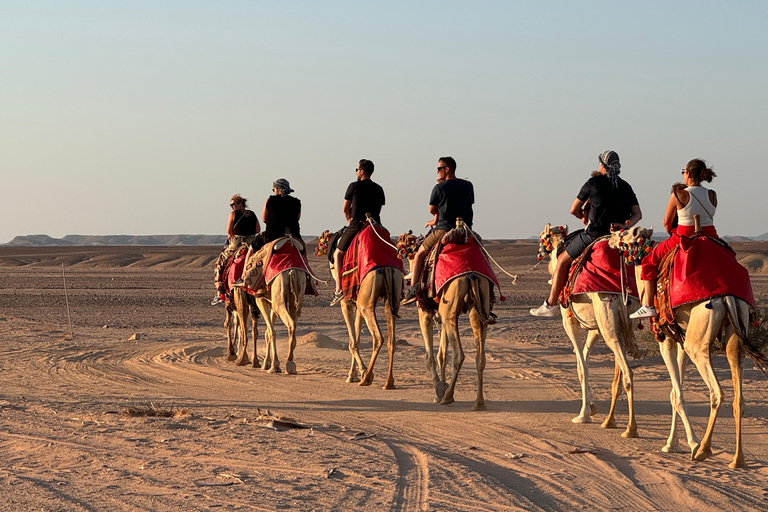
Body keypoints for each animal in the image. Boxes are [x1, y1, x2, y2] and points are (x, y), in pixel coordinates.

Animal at [539, 223, 640, 438]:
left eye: (542, 236)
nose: (540, 251)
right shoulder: (595, 328)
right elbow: (583, 361)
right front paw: (591, 408)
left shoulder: (569, 320)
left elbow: (583, 365)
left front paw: (583, 414)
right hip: (620, 325)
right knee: (620, 371)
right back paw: (610, 421)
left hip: (607, 319)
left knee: (628, 372)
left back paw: (630, 428)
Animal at [612, 224, 766, 468]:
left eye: (624, 233)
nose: (609, 237)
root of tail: (727, 297)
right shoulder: (681, 339)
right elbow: (675, 392)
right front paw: (671, 444)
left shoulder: (666, 339)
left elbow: (677, 394)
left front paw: (688, 443)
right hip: (736, 332)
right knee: (739, 398)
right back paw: (737, 459)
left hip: (698, 340)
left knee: (717, 392)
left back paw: (703, 449)